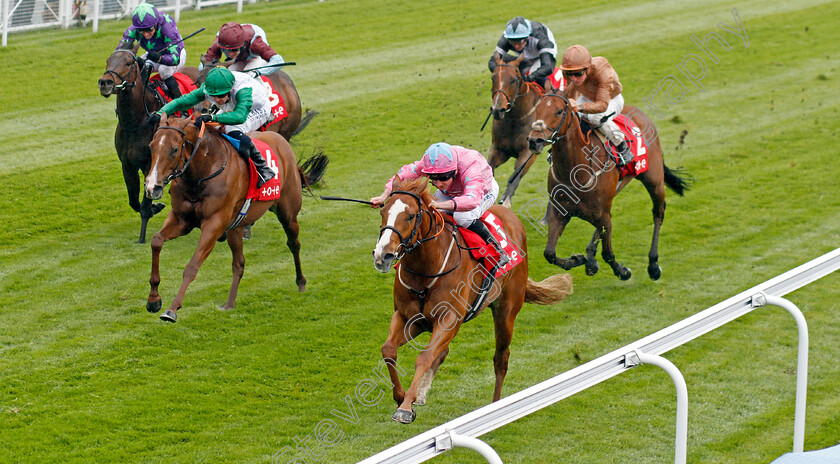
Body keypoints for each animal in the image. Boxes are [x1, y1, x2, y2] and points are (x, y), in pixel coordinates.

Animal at [98, 49, 200, 245]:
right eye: (107, 61)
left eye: (128, 62)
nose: (105, 83)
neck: (136, 122)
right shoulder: (127, 165)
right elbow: (133, 200)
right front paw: (155, 206)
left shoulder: (149, 164)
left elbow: (144, 203)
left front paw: (142, 236)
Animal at [143, 116, 326, 322]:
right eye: (151, 146)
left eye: (174, 149)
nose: (152, 187)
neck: (203, 172)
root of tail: (281, 141)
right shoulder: (182, 219)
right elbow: (156, 241)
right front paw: (153, 300)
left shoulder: (213, 224)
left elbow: (192, 266)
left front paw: (172, 309)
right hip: (235, 227)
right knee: (239, 263)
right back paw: (229, 304)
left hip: (287, 212)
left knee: (294, 244)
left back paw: (301, 283)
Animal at [372, 178, 572, 424]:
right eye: (383, 211)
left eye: (410, 216)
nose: (383, 256)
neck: (426, 271)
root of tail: (512, 216)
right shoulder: (408, 317)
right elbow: (389, 350)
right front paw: (402, 397)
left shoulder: (448, 319)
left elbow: (424, 357)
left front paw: (406, 407)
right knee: (443, 352)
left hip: (506, 312)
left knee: (501, 358)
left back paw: (495, 406)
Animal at [486, 51, 544, 208]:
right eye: (493, 78)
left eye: (513, 80)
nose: (498, 110)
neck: (514, 119)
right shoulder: (499, 150)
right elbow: (489, 170)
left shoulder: (528, 152)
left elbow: (516, 175)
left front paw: (505, 200)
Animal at [528, 90, 692, 280]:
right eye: (537, 109)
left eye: (559, 111)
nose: (534, 140)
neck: (575, 171)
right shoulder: (560, 212)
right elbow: (549, 253)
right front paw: (578, 259)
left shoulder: (601, 215)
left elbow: (607, 253)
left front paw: (623, 271)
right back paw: (591, 259)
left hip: (653, 179)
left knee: (658, 212)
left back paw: (653, 264)